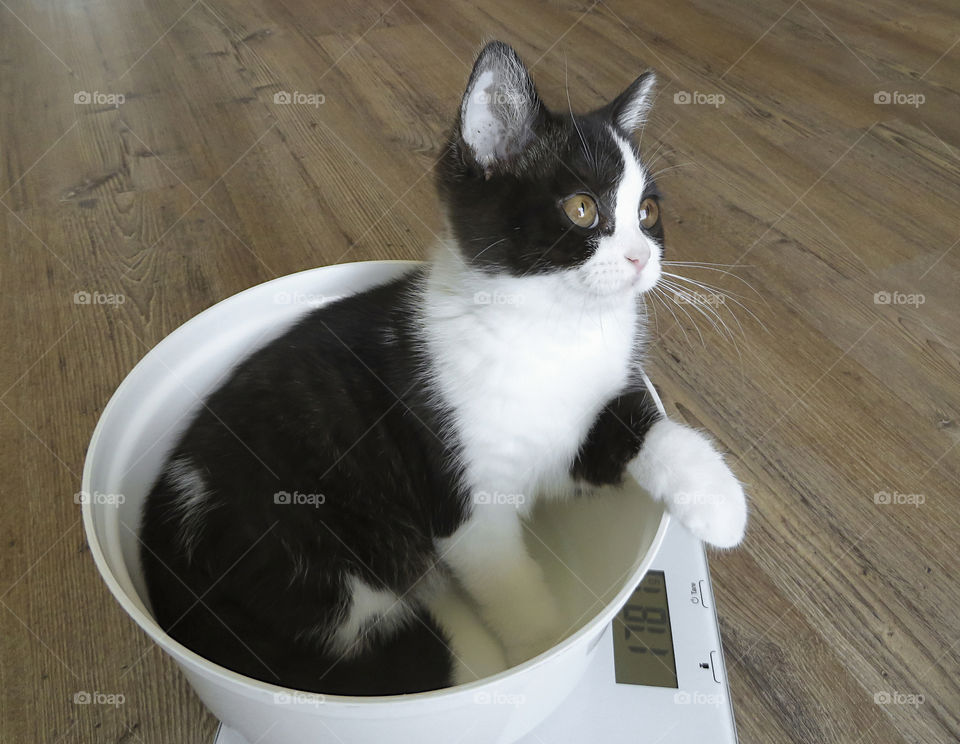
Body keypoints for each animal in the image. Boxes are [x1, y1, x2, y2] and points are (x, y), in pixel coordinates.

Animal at [139, 40, 748, 696]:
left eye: (649, 211)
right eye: (582, 209)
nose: (641, 257)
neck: (552, 329)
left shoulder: (574, 437)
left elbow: (636, 422)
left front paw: (717, 498)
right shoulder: (464, 492)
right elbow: (507, 582)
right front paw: (543, 652)